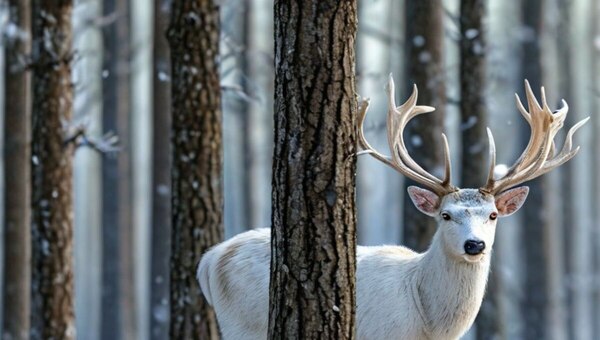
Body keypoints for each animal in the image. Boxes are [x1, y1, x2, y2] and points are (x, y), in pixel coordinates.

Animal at [196, 77, 584, 340]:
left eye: (492, 215)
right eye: (445, 215)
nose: (475, 245)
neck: (429, 325)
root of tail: (211, 258)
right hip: (241, 325)